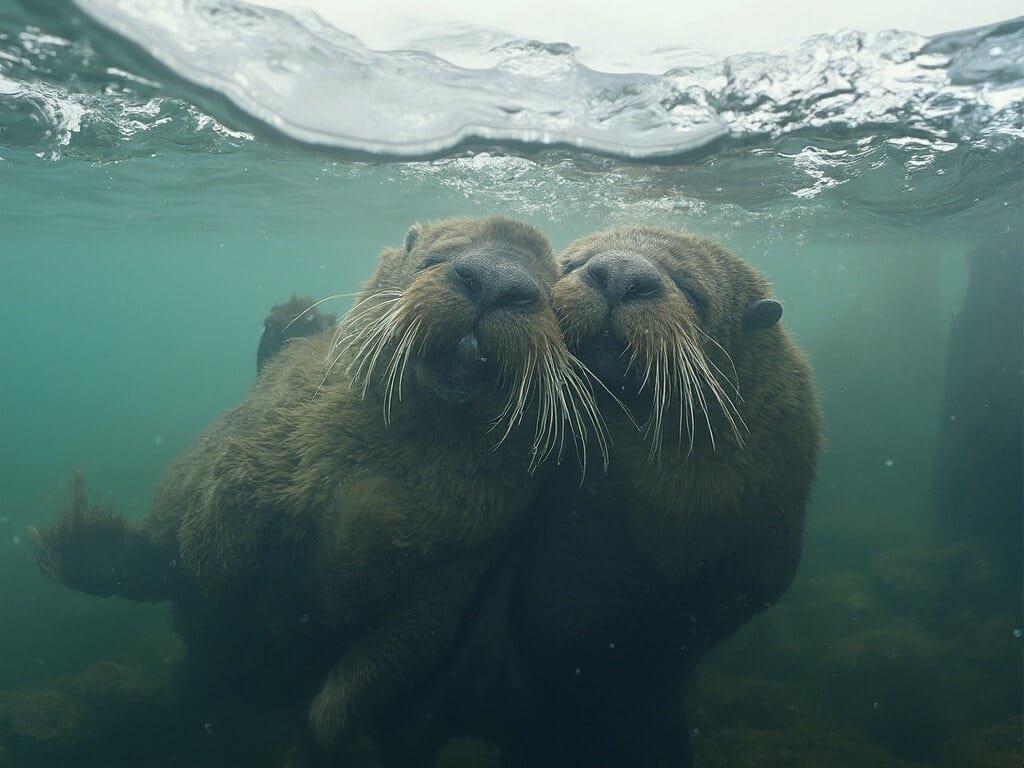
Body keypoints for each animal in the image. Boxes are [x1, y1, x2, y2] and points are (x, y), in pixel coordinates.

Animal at [30, 217, 606, 762]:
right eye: (432, 254)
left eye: (550, 288)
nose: (495, 281)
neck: (378, 469)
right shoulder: (265, 434)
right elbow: (215, 532)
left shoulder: (457, 568)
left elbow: (386, 661)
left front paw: (334, 741)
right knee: (153, 561)